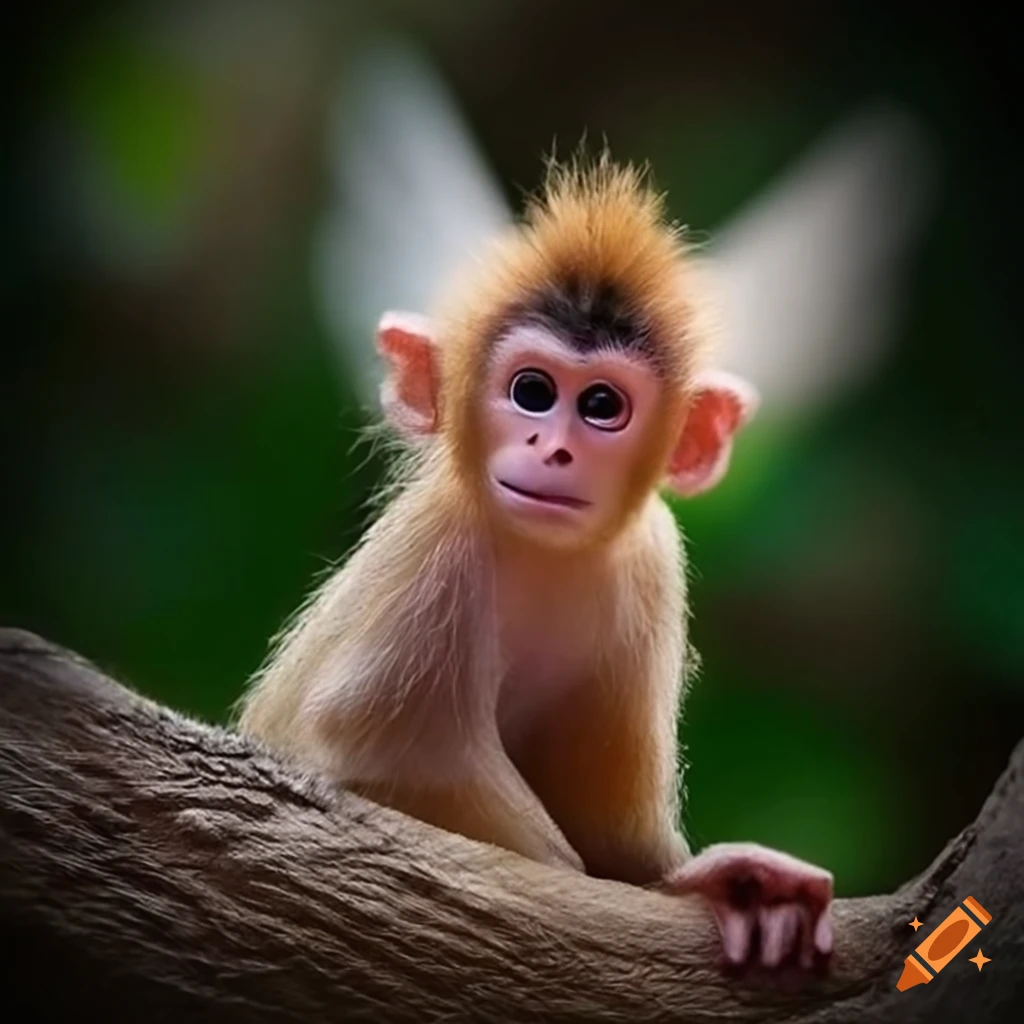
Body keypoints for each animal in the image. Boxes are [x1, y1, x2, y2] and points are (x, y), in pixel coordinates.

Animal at [236, 153, 834, 970]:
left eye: (603, 406)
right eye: (531, 391)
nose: (553, 449)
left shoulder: (651, 564)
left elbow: (616, 838)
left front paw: (724, 884)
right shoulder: (442, 554)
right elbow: (380, 743)